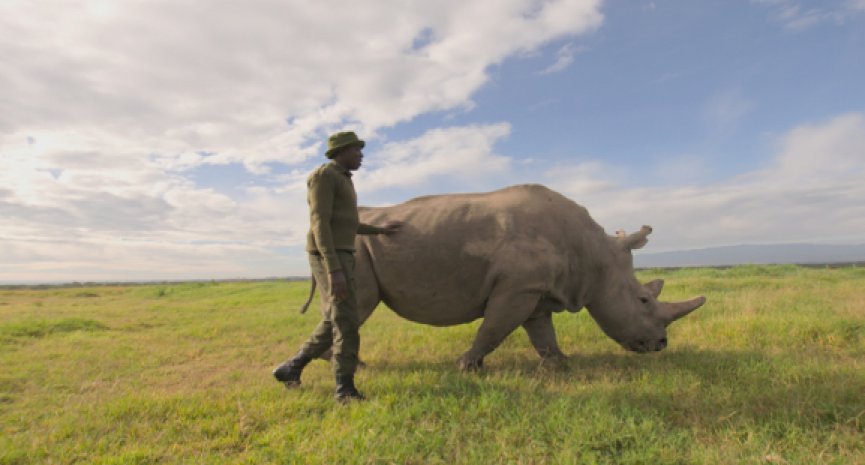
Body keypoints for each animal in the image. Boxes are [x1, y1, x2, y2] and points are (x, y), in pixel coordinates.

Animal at [300, 183, 704, 368]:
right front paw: (467, 367)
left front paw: (560, 365)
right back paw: (351, 365)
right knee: (359, 303)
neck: (594, 255)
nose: (661, 345)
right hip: (350, 245)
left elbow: (542, 333)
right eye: (644, 300)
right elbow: (493, 328)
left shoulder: (534, 290)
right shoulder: (517, 288)